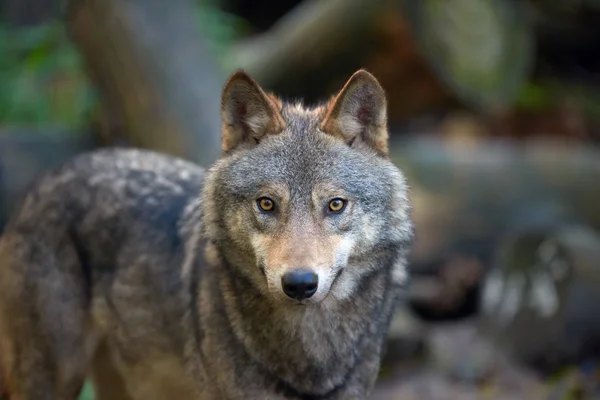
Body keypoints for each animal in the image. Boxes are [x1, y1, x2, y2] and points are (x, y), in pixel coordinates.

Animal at [0, 69, 412, 400]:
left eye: (335, 205)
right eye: (266, 204)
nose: (298, 283)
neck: (311, 352)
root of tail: (40, 184)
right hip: (56, 377)